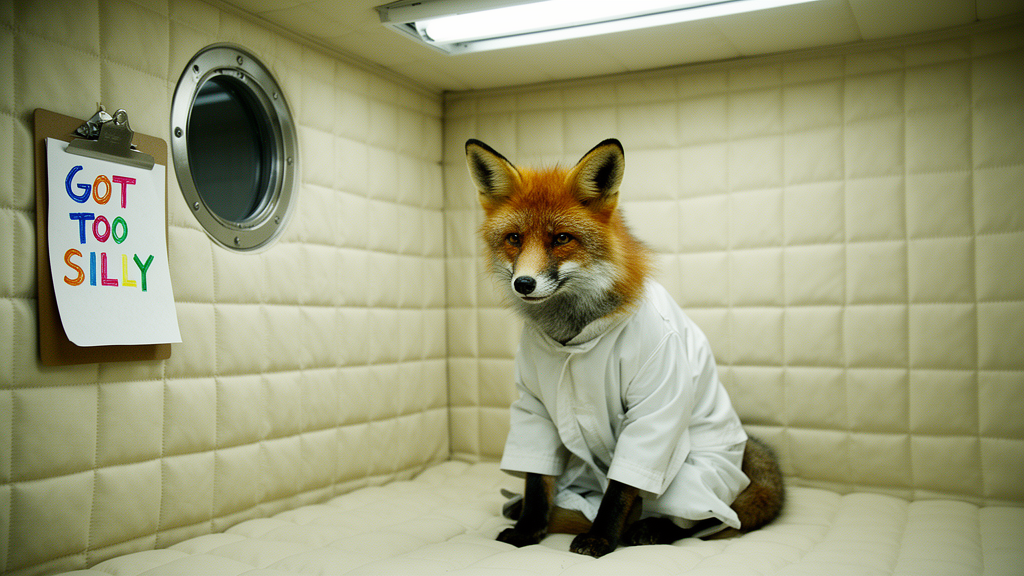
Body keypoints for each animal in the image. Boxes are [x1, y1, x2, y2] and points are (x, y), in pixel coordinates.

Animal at [466, 138, 785, 558]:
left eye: (561, 238)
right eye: (514, 239)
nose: (524, 283)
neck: (574, 340)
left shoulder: (655, 405)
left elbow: (620, 490)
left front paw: (601, 539)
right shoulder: (534, 407)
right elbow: (536, 482)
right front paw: (528, 529)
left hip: (693, 475)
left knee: (713, 517)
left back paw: (651, 528)